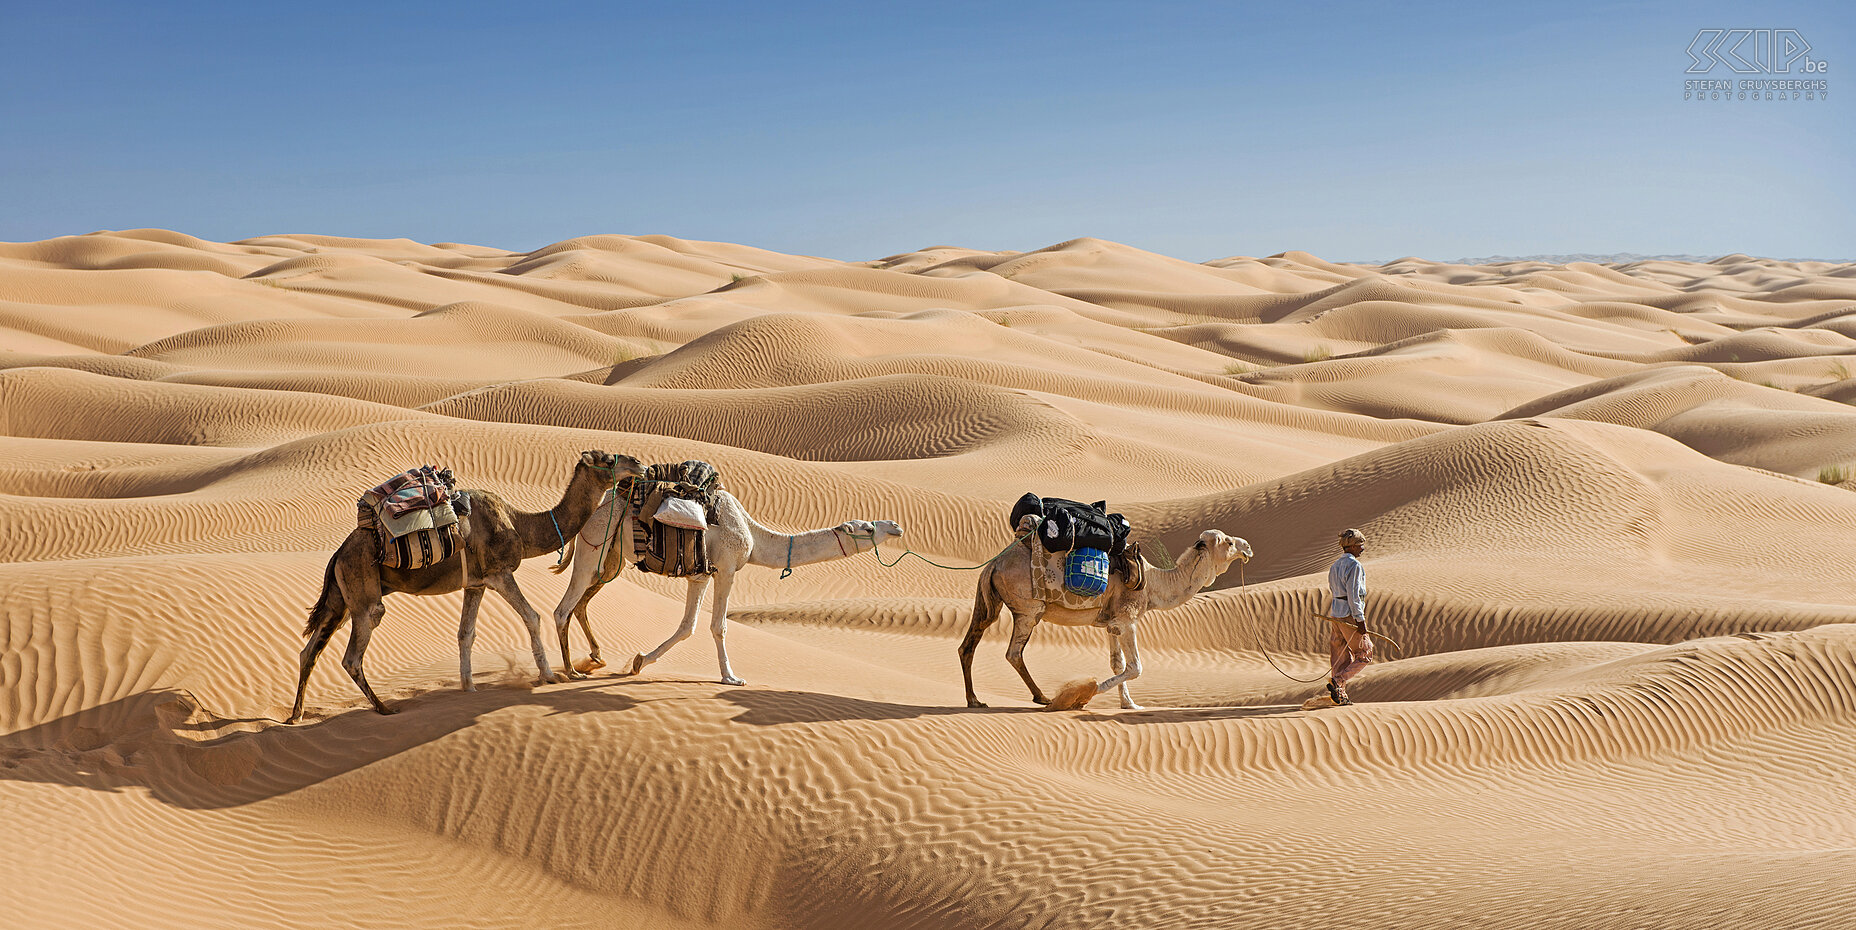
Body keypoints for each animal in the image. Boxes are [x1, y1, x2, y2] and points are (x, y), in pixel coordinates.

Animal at [283, 449, 645, 723]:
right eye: (608, 459)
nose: (640, 465)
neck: (521, 525)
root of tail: (338, 554)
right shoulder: (500, 573)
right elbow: (532, 616)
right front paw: (549, 675)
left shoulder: (476, 584)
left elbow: (465, 634)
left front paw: (468, 687)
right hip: (363, 592)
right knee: (353, 654)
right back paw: (384, 708)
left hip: (341, 597)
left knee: (309, 650)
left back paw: (296, 715)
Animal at [545, 490, 902, 686]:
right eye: (867, 527)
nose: (896, 526)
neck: (755, 536)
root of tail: (595, 508)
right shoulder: (727, 569)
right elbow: (718, 625)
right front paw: (731, 677)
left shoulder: (700, 574)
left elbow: (687, 626)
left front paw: (638, 662)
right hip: (594, 545)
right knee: (564, 607)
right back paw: (571, 672)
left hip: (613, 559)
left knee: (582, 602)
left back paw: (595, 657)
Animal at [965, 523, 1254, 709]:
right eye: (1229, 542)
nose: (1248, 547)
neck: (1154, 584)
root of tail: (994, 563)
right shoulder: (1127, 620)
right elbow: (1135, 667)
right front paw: (1080, 696)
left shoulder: (1111, 624)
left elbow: (1118, 664)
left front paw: (1129, 704)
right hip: (1029, 609)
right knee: (1013, 653)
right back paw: (1044, 698)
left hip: (989, 602)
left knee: (969, 643)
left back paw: (975, 700)